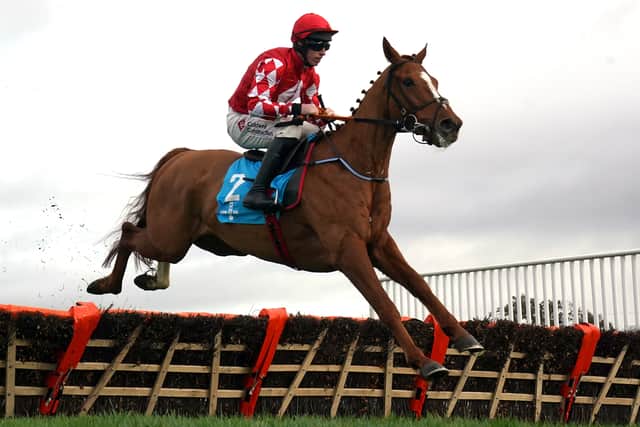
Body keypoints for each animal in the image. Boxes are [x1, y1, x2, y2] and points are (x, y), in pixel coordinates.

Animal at [87, 38, 483, 380]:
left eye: (434, 80)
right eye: (408, 81)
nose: (451, 124)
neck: (356, 166)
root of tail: (180, 157)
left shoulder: (379, 243)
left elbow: (419, 284)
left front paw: (465, 338)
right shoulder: (348, 250)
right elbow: (385, 304)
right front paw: (425, 363)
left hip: (187, 240)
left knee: (143, 242)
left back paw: (153, 278)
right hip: (170, 236)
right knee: (129, 233)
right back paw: (106, 283)